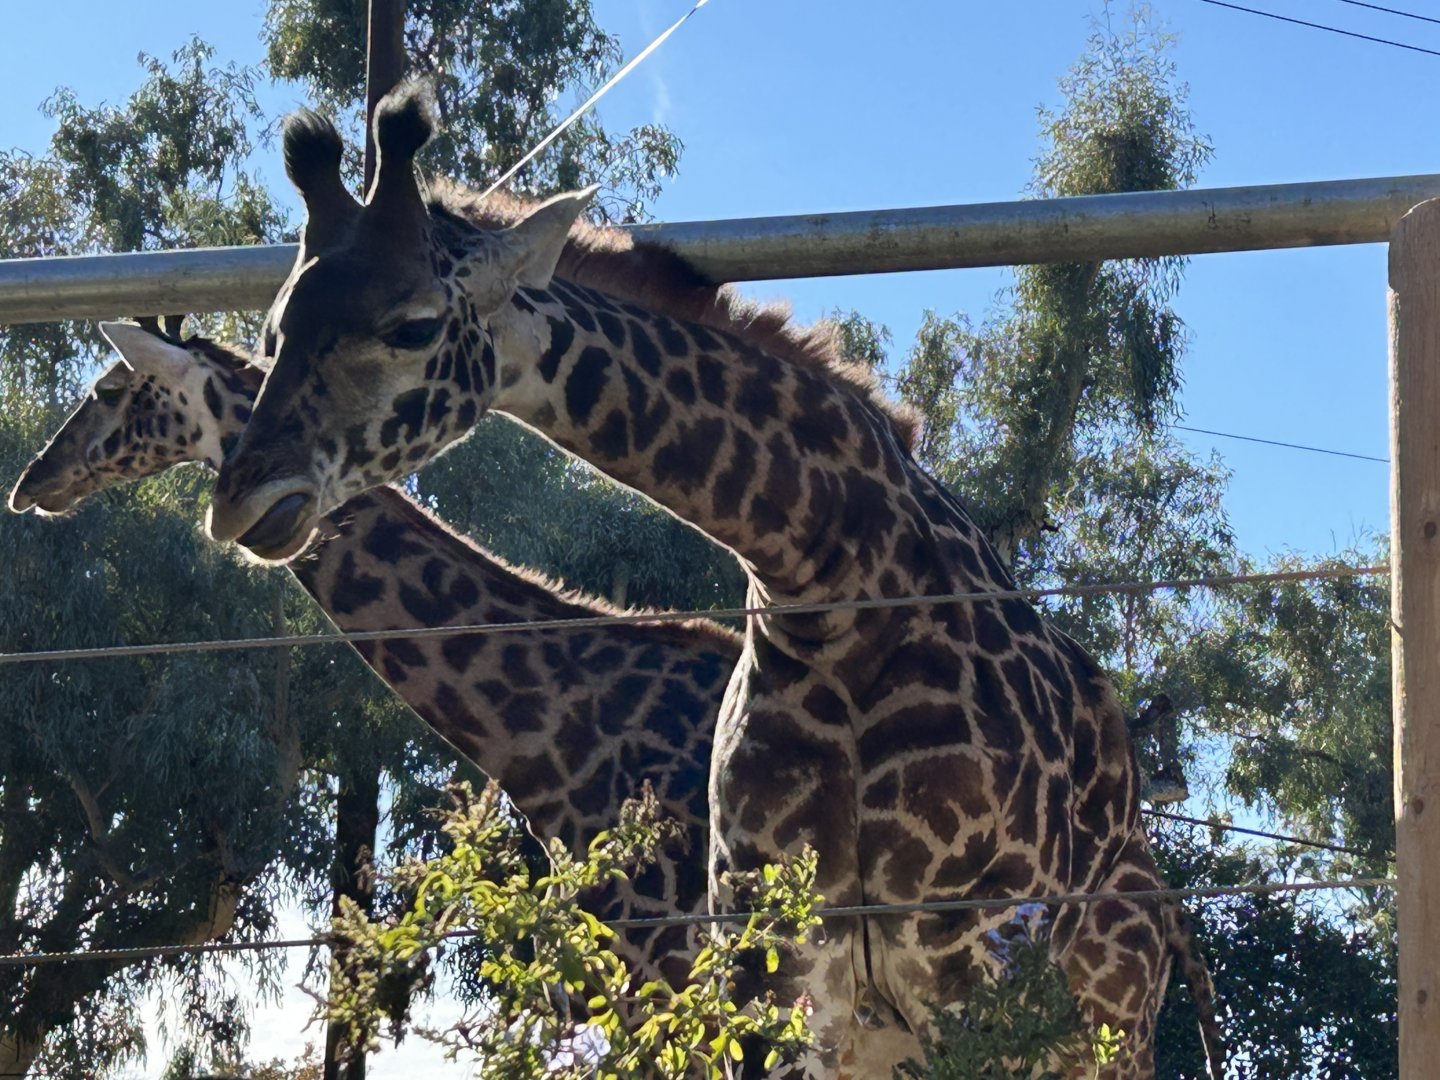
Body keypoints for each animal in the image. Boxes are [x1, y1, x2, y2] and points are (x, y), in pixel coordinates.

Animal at [204, 87, 1223, 1078]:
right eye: (275, 329)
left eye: (412, 324)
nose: (243, 496)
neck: (839, 574)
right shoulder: (772, 968)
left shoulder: (968, 960)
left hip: (1098, 1030)